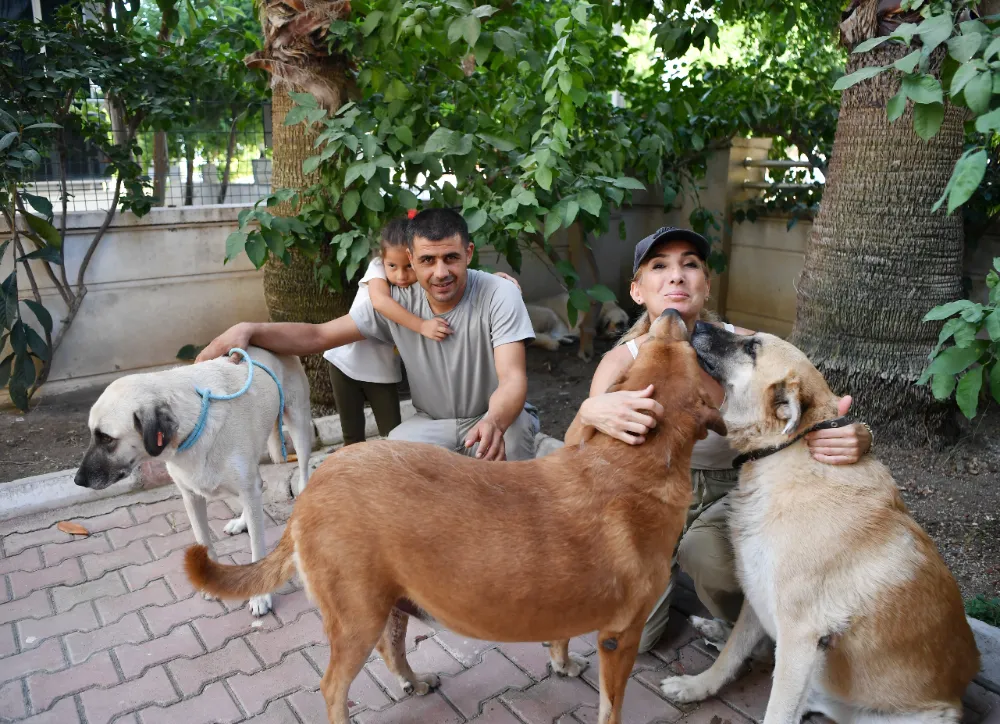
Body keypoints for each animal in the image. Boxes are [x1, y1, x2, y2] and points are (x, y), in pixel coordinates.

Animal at [75, 346, 312, 616]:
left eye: (106, 438)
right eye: (93, 434)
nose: (78, 480)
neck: (196, 421)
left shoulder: (246, 487)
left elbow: (257, 547)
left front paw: (260, 596)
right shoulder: (191, 497)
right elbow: (203, 540)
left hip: (299, 426)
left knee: (303, 472)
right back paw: (242, 521)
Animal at [184, 310, 724, 724]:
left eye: (658, 341)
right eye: (685, 350)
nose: (673, 312)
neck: (629, 461)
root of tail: (313, 488)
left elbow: (561, 635)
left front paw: (561, 662)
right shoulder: (621, 638)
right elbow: (612, 705)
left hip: (389, 604)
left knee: (392, 649)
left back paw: (415, 680)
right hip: (357, 618)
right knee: (332, 687)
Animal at [660, 324, 980, 724]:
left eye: (752, 347)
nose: (700, 324)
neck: (788, 448)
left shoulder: (799, 634)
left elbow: (774, 707)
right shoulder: (759, 593)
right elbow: (731, 655)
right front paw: (697, 686)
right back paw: (714, 630)